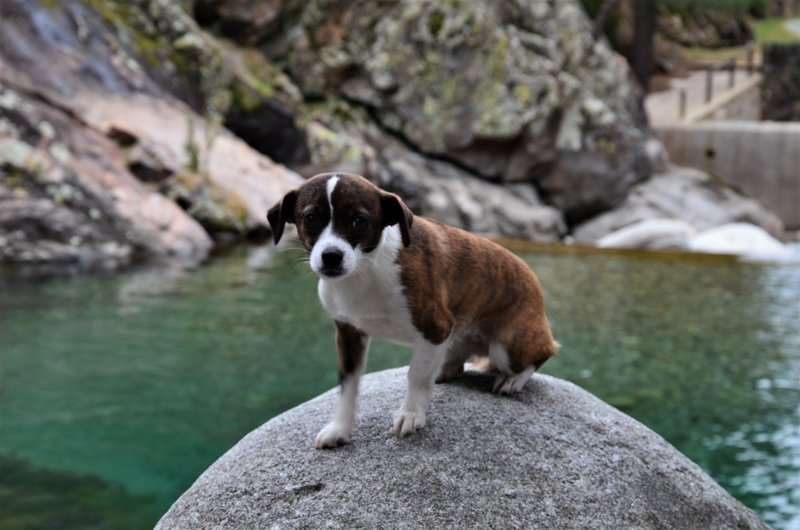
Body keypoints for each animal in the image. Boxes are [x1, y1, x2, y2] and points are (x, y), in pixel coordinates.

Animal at [266, 172, 560, 446]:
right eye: (310, 218)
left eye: (360, 221)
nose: (331, 256)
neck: (366, 271)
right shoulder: (349, 334)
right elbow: (347, 387)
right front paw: (340, 428)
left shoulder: (434, 329)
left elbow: (415, 375)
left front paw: (411, 414)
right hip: (458, 340)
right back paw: (447, 369)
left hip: (507, 347)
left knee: (544, 352)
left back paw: (513, 379)